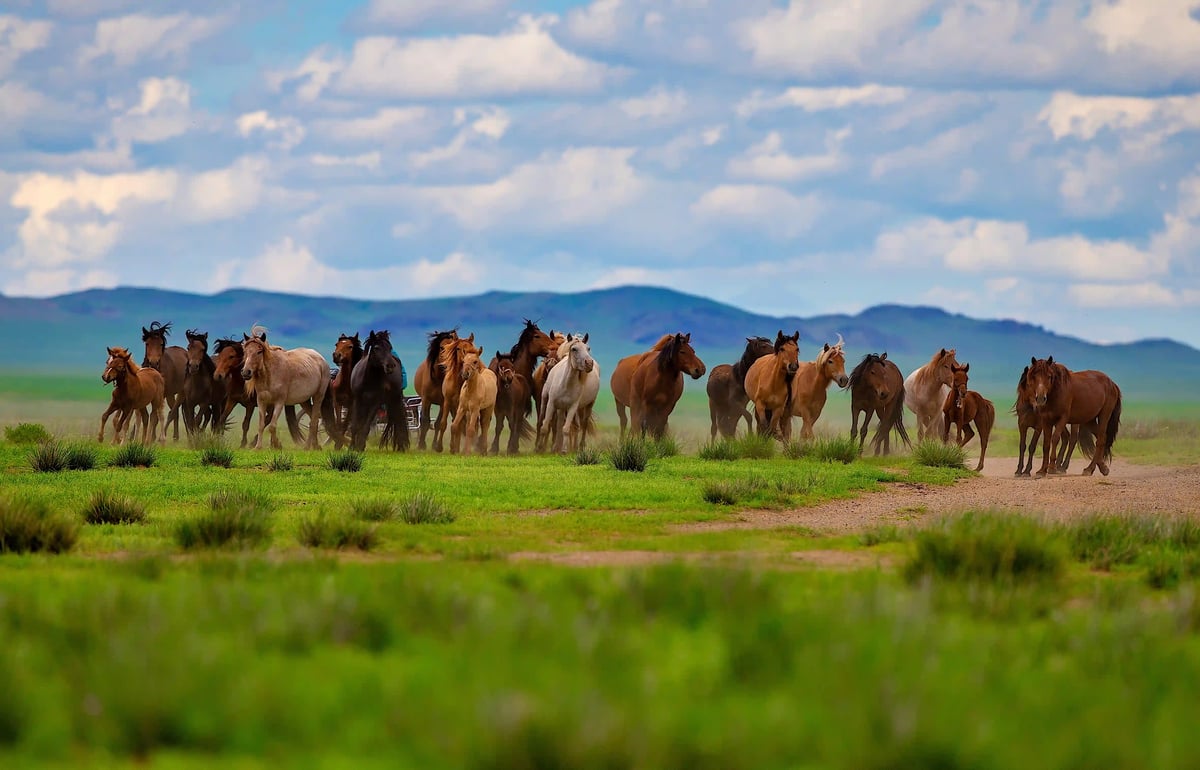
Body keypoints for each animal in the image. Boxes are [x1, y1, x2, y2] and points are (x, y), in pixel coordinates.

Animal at [490, 320, 557, 455]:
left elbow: (517, 424)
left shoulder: (521, 404)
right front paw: (496, 448)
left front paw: (514, 447)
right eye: (537, 336)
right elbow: (502, 424)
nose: (554, 347)